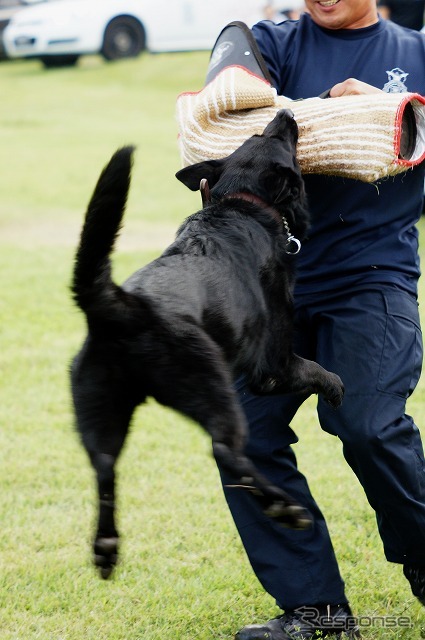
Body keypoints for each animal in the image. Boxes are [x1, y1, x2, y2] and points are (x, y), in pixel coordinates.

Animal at [69, 110, 342, 580]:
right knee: (227, 452)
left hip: (101, 411)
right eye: (278, 139)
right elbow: (317, 369)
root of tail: (120, 304)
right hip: (213, 387)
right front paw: (335, 387)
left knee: (104, 468)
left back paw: (106, 547)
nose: (287, 113)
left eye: (259, 131)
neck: (243, 204)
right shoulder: (274, 368)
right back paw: (284, 508)